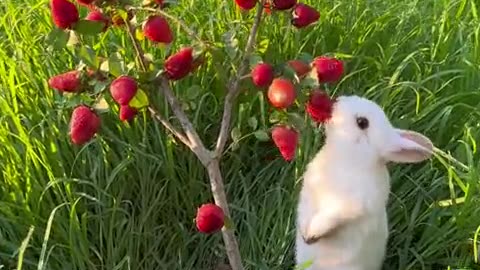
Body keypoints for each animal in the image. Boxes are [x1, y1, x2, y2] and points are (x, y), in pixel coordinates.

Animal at [296, 95, 436, 270]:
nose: (336, 102)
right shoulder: (309, 194)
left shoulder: (351, 206)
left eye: (362, 122)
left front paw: (311, 235)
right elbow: (305, 214)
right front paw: (305, 234)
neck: (348, 160)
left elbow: (331, 218)